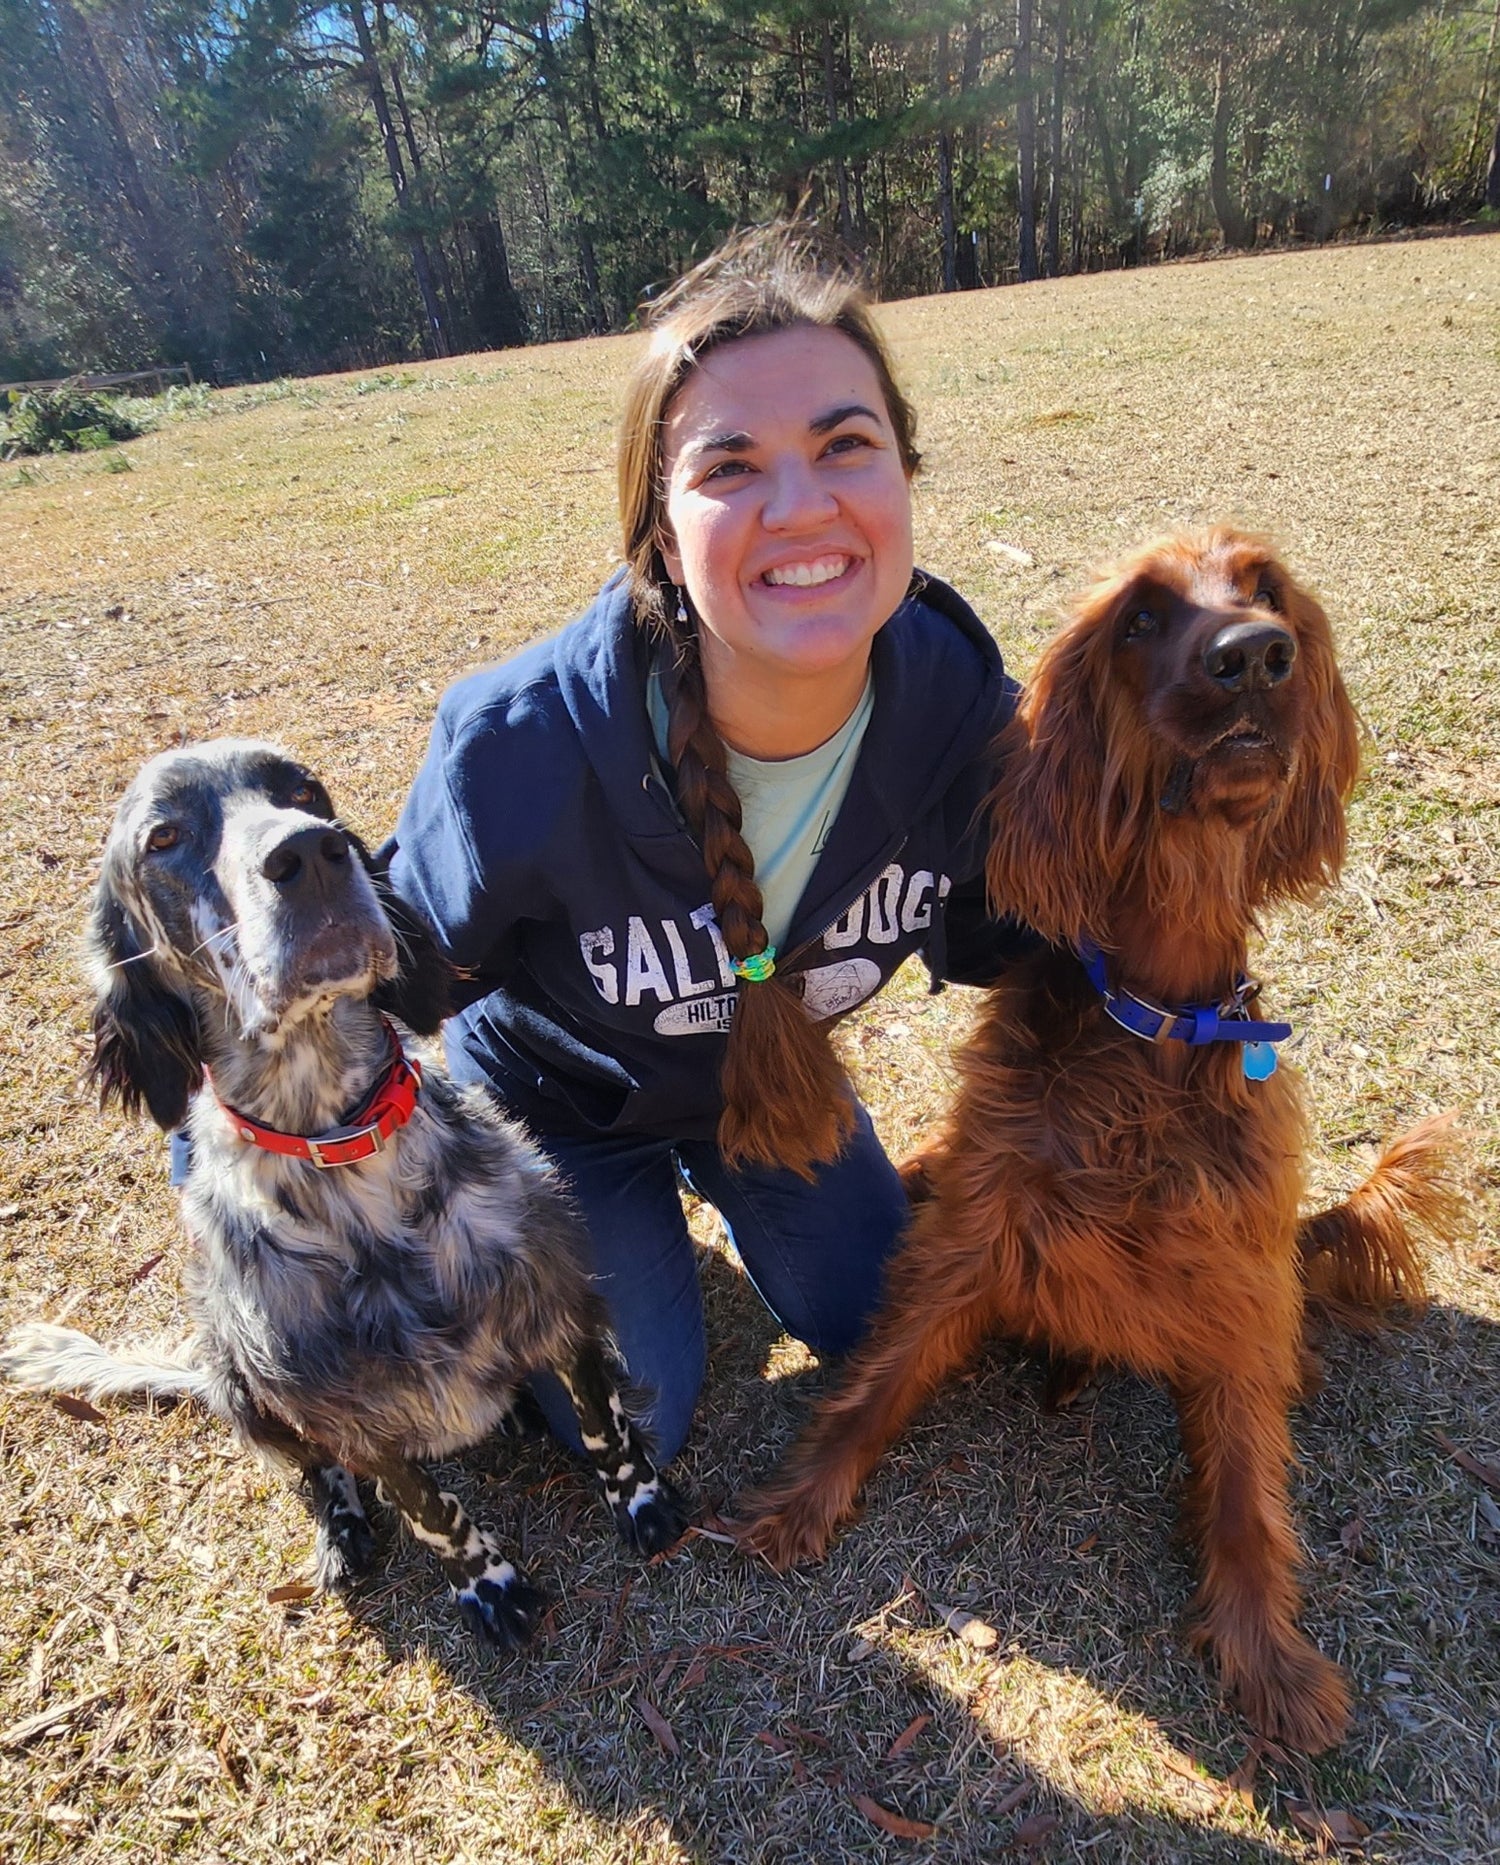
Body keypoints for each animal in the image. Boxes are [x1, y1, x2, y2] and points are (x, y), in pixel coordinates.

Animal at [2, 738, 686, 1648]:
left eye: (303, 790)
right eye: (164, 837)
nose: (309, 852)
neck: (344, 1154)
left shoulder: (559, 1309)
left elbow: (604, 1427)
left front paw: (642, 1502)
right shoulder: (350, 1417)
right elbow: (430, 1511)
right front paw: (489, 1586)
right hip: (239, 1379)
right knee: (318, 1471)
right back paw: (343, 1529)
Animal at [742, 533, 1462, 1753]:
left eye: (1265, 588)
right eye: (1142, 617)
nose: (1254, 654)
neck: (1148, 1025)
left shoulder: (1234, 1282)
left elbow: (1246, 1489)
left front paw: (1270, 1654)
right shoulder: (978, 1229)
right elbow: (879, 1373)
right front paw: (799, 1497)